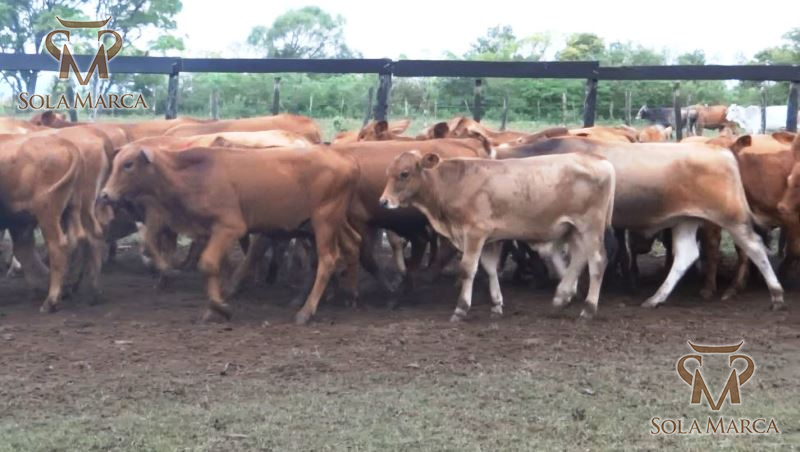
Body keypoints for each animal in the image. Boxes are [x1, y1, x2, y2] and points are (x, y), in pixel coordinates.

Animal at [99, 145, 362, 324]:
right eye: (116, 162)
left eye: (128, 164)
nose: (104, 195)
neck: (195, 174)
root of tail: (346, 160)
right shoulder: (210, 231)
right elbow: (216, 266)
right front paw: (215, 305)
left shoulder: (229, 227)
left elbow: (207, 264)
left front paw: (220, 307)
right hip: (331, 223)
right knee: (353, 244)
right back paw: (348, 295)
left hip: (324, 221)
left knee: (328, 259)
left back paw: (306, 311)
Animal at [379, 151, 616, 320]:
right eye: (388, 171)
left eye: (404, 173)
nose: (383, 202)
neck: (453, 184)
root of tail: (601, 160)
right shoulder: (489, 239)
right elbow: (490, 269)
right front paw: (496, 305)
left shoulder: (475, 233)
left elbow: (468, 269)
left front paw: (461, 309)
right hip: (574, 229)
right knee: (579, 258)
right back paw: (560, 298)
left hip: (590, 226)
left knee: (597, 261)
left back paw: (588, 310)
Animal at [499, 136, 785, 310]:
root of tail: (723, 152)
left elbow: (556, 251)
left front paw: (568, 289)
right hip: (686, 220)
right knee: (686, 255)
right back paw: (655, 298)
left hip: (732, 217)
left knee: (755, 247)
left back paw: (776, 294)